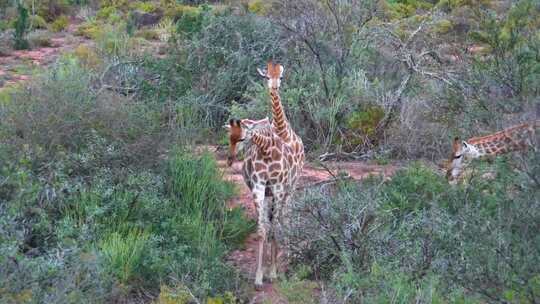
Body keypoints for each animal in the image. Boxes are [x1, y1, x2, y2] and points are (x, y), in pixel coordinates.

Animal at [226, 116, 298, 288]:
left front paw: (273, 273)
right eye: (229, 137)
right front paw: (259, 277)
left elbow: (274, 229)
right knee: (268, 222)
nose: (230, 160)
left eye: (242, 138)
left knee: (283, 220)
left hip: (288, 192)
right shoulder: (258, 187)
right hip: (268, 195)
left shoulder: (278, 189)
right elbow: (261, 231)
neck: (267, 151)